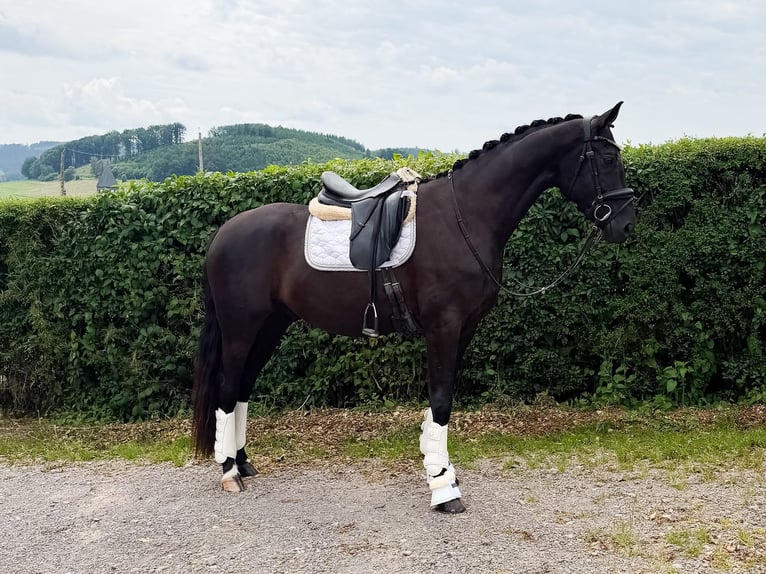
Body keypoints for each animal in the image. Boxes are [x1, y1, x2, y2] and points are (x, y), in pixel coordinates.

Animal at [191, 102, 636, 514]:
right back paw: (229, 472)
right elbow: (441, 402)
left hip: (270, 325)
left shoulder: (464, 329)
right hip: (241, 328)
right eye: (608, 159)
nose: (626, 225)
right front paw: (443, 489)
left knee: (243, 387)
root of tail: (223, 233)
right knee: (228, 388)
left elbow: (438, 403)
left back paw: (243, 463)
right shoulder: (444, 327)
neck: (466, 215)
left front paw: (440, 472)